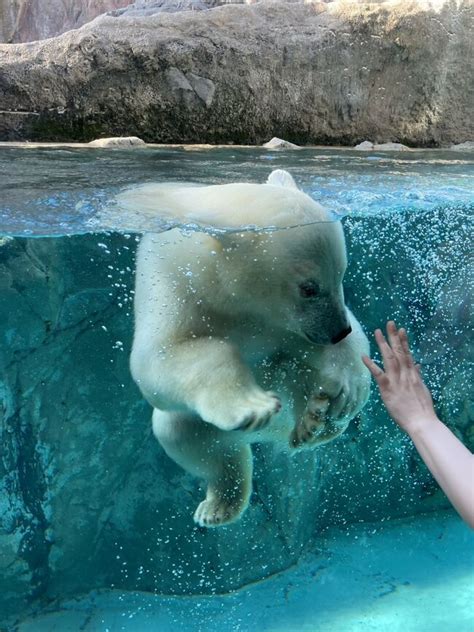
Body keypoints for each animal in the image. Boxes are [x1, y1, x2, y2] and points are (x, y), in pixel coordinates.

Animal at [125, 169, 370, 528]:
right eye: (308, 288)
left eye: (341, 274)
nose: (338, 331)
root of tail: (272, 435)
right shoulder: (174, 292)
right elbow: (159, 360)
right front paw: (251, 405)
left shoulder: (277, 322)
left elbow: (330, 347)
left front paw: (347, 389)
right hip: (201, 425)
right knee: (188, 437)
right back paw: (219, 506)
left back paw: (314, 420)